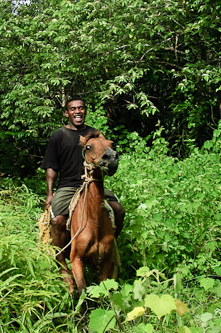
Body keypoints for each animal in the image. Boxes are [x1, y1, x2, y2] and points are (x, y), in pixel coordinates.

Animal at [68, 130, 119, 294]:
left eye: (111, 144)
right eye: (89, 147)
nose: (112, 158)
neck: (94, 223)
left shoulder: (106, 261)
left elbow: (104, 291)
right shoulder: (75, 260)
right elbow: (83, 292)